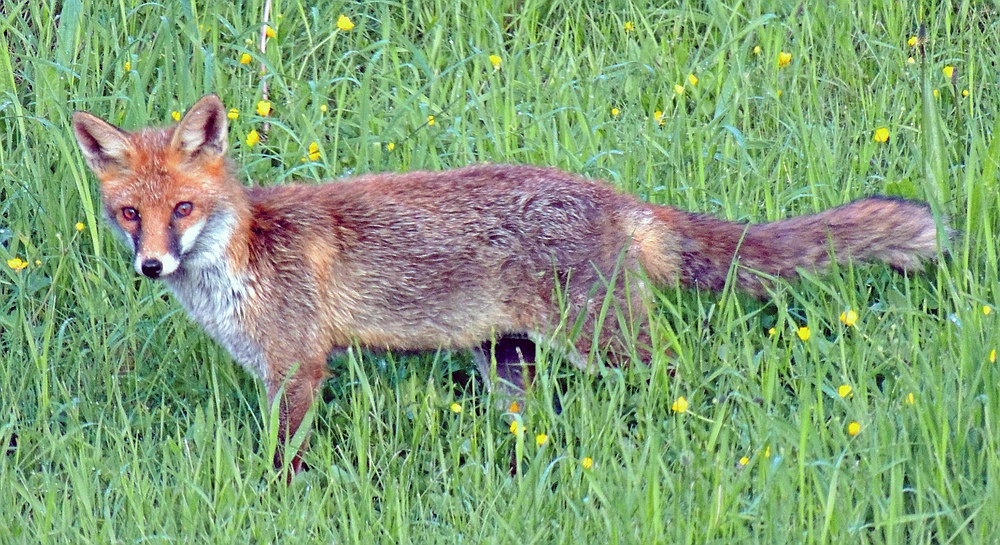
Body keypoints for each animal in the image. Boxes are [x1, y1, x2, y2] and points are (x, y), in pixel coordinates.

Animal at [74, 92, 940, 472]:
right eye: (130, 214)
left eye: (184, 208)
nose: (152, 264)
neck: (245, 256)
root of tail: (616, 197)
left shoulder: (298, 367)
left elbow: (282, 459)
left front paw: (272, 501)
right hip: (507, 361)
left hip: (604, 343)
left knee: (681, 377)